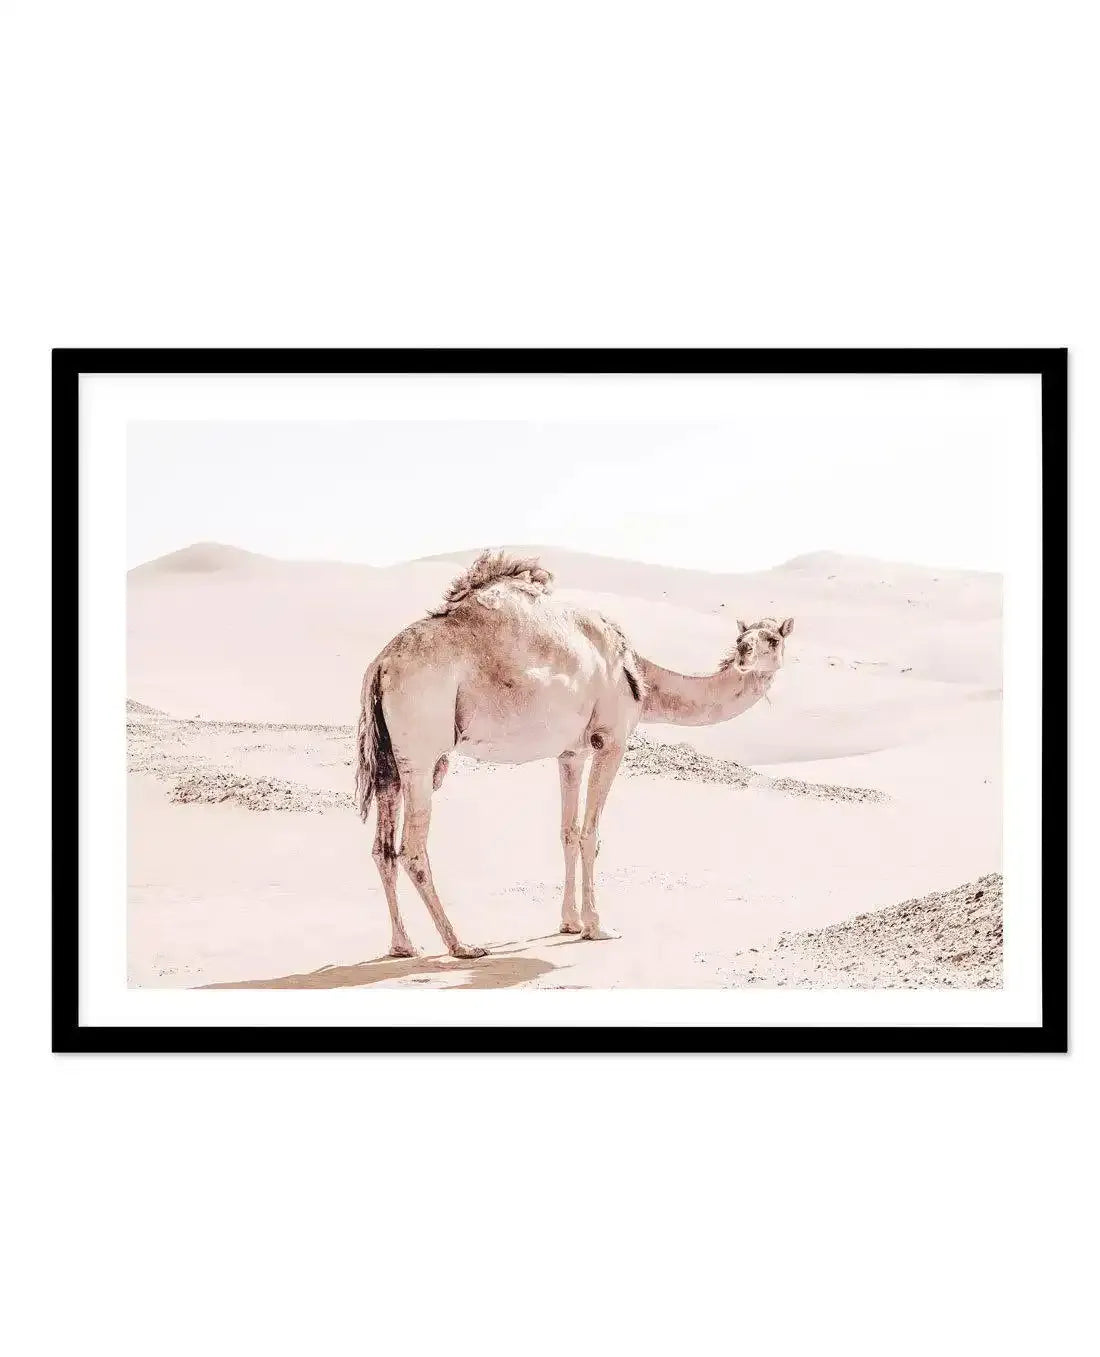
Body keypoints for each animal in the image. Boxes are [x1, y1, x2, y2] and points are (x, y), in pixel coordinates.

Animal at [355, 550, 793, 959]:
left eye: (773, 638)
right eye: (747, 638)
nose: (743, 651)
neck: (640, 675)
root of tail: (380, 664)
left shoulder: (572, 752)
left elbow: (567, 831)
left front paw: (569, 922)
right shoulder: (610, 740)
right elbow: (590, 833)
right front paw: (597, 926)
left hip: (391, 760)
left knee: (382, 848)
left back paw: (403, 945)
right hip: (422, 751)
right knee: (413, 849)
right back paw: (461, 944)